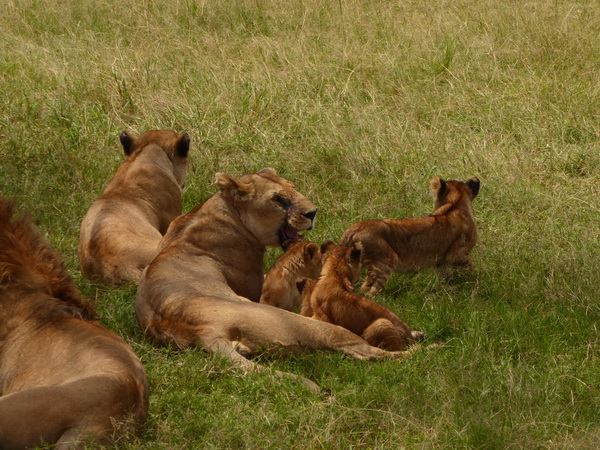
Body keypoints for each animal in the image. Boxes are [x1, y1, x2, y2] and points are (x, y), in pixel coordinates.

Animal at [137, 171, 414, 392]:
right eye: (278, 199)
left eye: (292, 187)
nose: (313, 212)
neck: (218, 211)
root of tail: (202, 332)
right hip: (304, 327)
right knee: (366, 351)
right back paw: (416, 350)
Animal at [340, 176, 480, 296]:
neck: (454, 203)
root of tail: (353, 229)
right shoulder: (458, 254)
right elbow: (469, 268)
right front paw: (474, 282)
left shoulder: (441, 261)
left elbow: (445, 277)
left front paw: (447, 290)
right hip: (385, 260)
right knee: (367, 289)